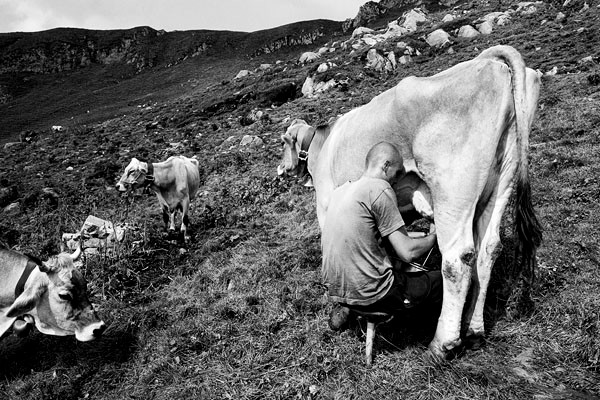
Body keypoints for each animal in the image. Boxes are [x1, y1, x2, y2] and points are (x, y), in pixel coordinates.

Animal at [278, 44, 548, 360]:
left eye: (283, 143)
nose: (281, 169)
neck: (322, 144)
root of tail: (492, 65)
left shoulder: (326, 205)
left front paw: (342, 312)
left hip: (452, 184)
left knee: (457, 259)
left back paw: (441, 345)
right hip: (503, 177)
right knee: (488, 249)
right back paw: (473, 331)